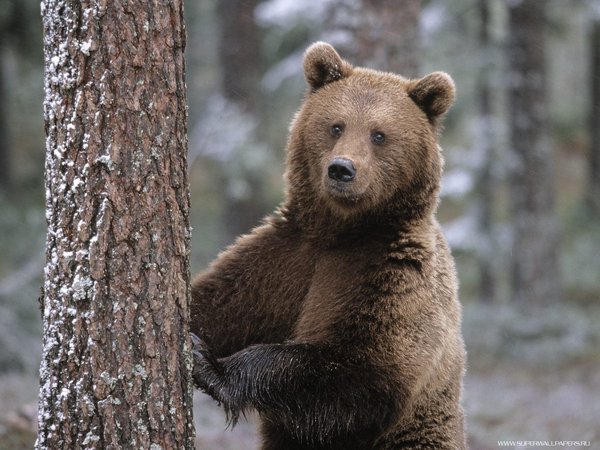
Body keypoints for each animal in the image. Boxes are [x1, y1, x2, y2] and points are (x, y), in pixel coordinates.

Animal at [190, 43, 466, 450]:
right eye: (336, 125)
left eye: (379, 134)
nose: (341, 169)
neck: (343, 231)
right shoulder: (285, 259)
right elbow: (218, 303)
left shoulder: (391, 276)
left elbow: (359, 371)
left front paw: (211, 366)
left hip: (418, 437)